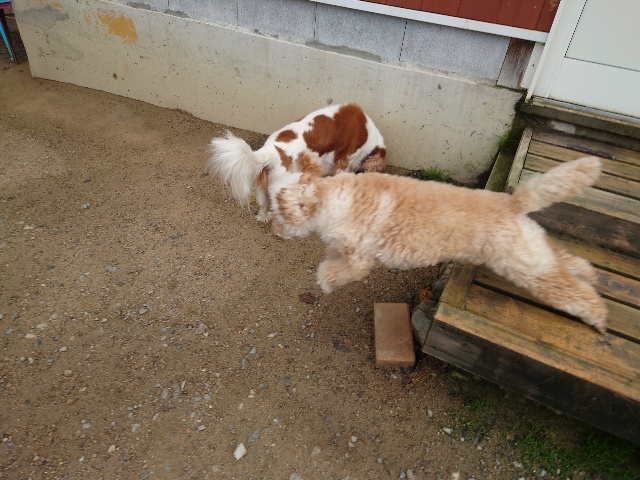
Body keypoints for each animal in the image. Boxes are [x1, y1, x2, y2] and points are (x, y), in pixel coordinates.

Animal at [209, 103, 386, 222]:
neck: (368, 135)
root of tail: (270, 152)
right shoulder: (343, 161)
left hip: (263, 184)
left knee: (263, 202)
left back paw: (264, 217)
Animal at [271, 156, 607, 333]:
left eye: (279, 212)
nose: (273, 228)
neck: (333, 197)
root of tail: (513, 203)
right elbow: (333, 252)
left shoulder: (360, 259)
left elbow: (338, 270)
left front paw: (325, 281)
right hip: (533, 251)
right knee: (566, 260)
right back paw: (589, 274)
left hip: (525, 265)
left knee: (572, 292)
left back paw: (599, 316)